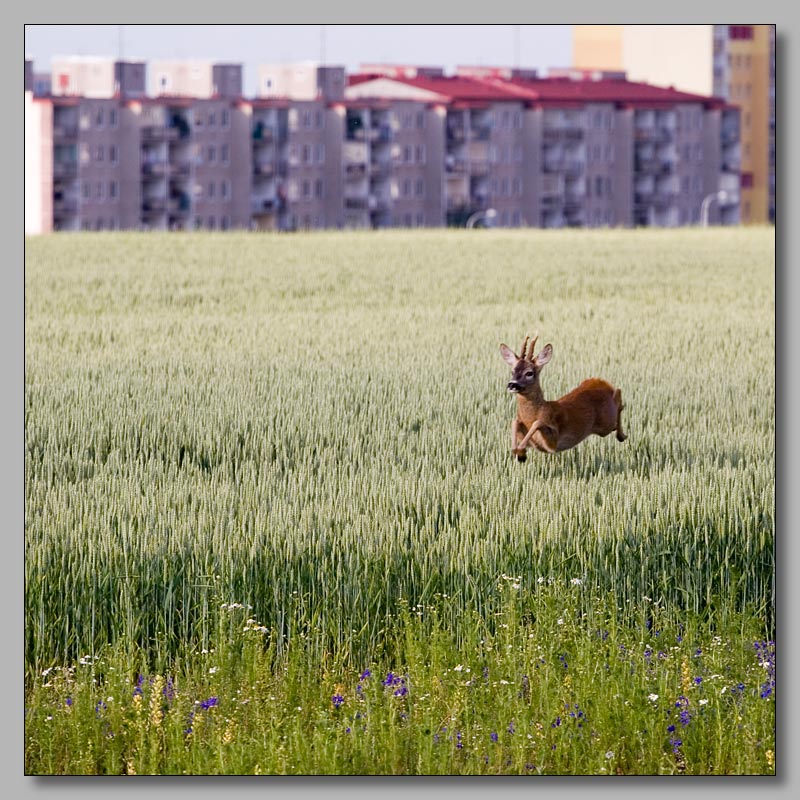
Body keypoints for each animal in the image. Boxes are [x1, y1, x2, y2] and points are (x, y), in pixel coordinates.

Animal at [500, 334, 624, 462]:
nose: (512, 384)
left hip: (606, 422)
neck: (535, 413)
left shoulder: (552, 442)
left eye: (529, 373)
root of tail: (603, 383)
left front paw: (520, 451)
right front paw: (519, 452)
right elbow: (514, 422)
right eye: (512, 371)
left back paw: (621, 436)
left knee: (619, 394)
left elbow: (537, 423)